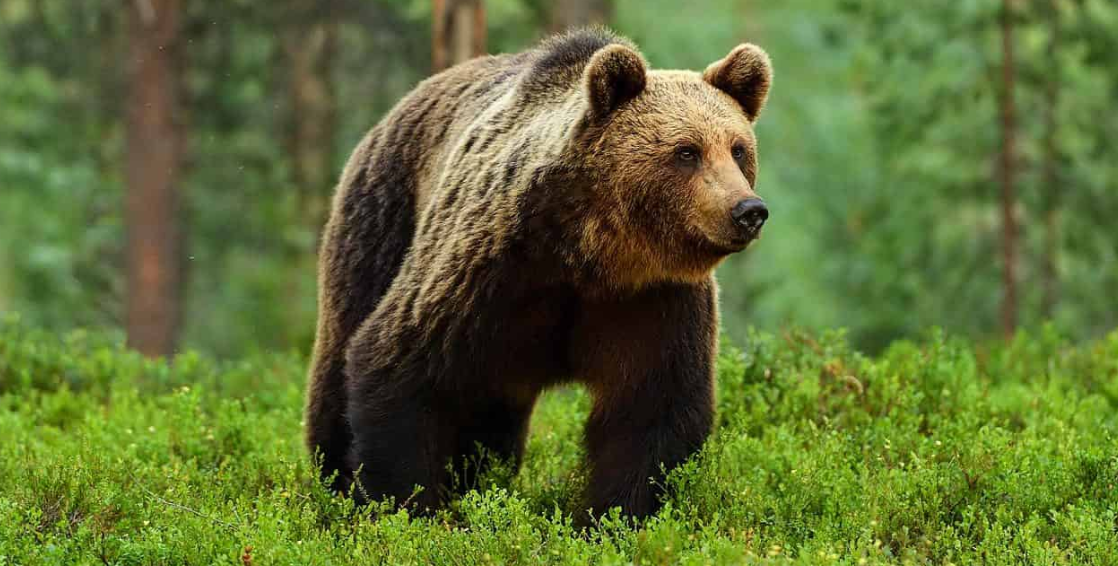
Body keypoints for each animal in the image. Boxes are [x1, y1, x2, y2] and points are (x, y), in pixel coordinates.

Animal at [305, 27, 772, 521]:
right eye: (687, 151)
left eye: (738, 149)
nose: (748, 211)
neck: (593, 252)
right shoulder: (488, 271)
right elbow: (398, 364)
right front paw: (403, 505)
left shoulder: (653, 299)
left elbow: (650, 412)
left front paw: (614, 515)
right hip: (380, 220)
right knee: (341, 350)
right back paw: (332, 475)